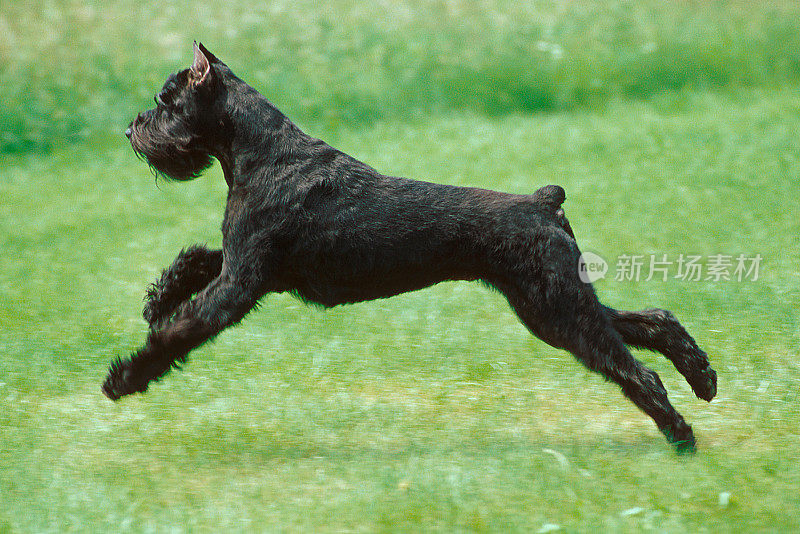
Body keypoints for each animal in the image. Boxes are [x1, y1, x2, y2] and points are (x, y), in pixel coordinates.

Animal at [104, 42, 720, 454]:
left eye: (166, 101)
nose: (131, 130)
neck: (258, 150)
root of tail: (544, 204)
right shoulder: (244, 263)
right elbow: (195, 260)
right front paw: (157, 298)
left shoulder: (240, 285)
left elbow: (180, 331)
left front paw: (125, 377)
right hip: (551, 302)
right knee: (652, 320)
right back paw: (703, 379)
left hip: (556, 311)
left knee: (636, 370)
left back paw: (681, 436)